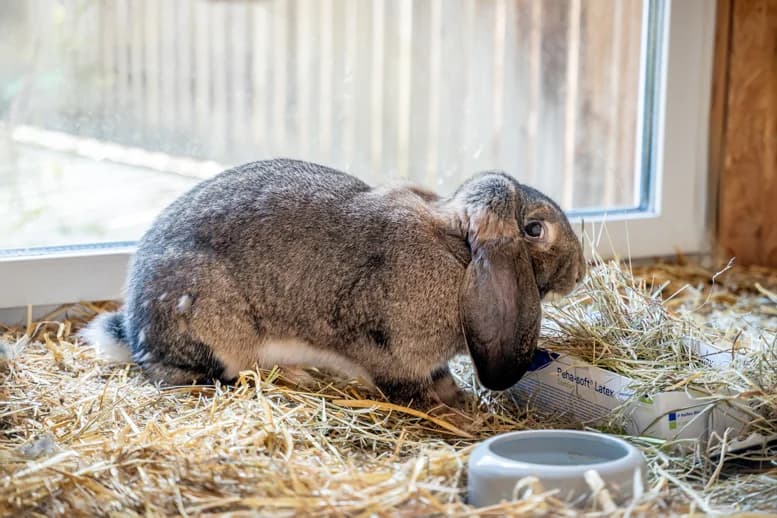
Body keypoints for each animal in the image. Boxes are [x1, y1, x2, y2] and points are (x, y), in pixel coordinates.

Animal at [81, 158, 585, 407]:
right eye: (534, 230)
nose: (579, 271)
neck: (457, 253)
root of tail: (134, 329)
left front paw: (457, 399)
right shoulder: (391, 349)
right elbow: (409, 386)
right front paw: (453, 411)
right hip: (208, 319)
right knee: (183, 370)